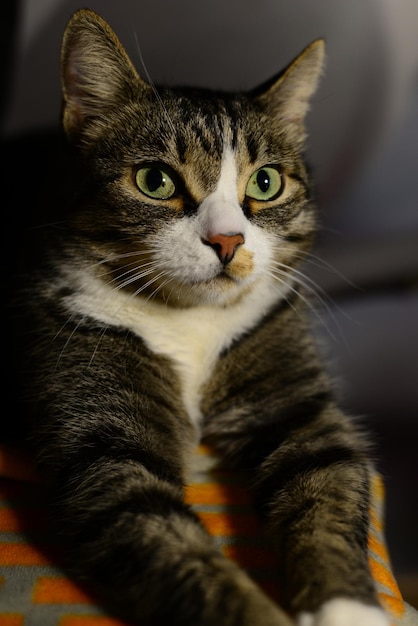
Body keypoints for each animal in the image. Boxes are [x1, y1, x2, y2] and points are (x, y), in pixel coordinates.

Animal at [8, 8, 390, 624]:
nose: (228, 240)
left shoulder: (296, 404)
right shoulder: (103, 440)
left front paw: (346, 610)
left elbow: (325, 484)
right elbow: (165, 535)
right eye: (154, 180)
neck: (189, 322)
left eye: (265, 182)